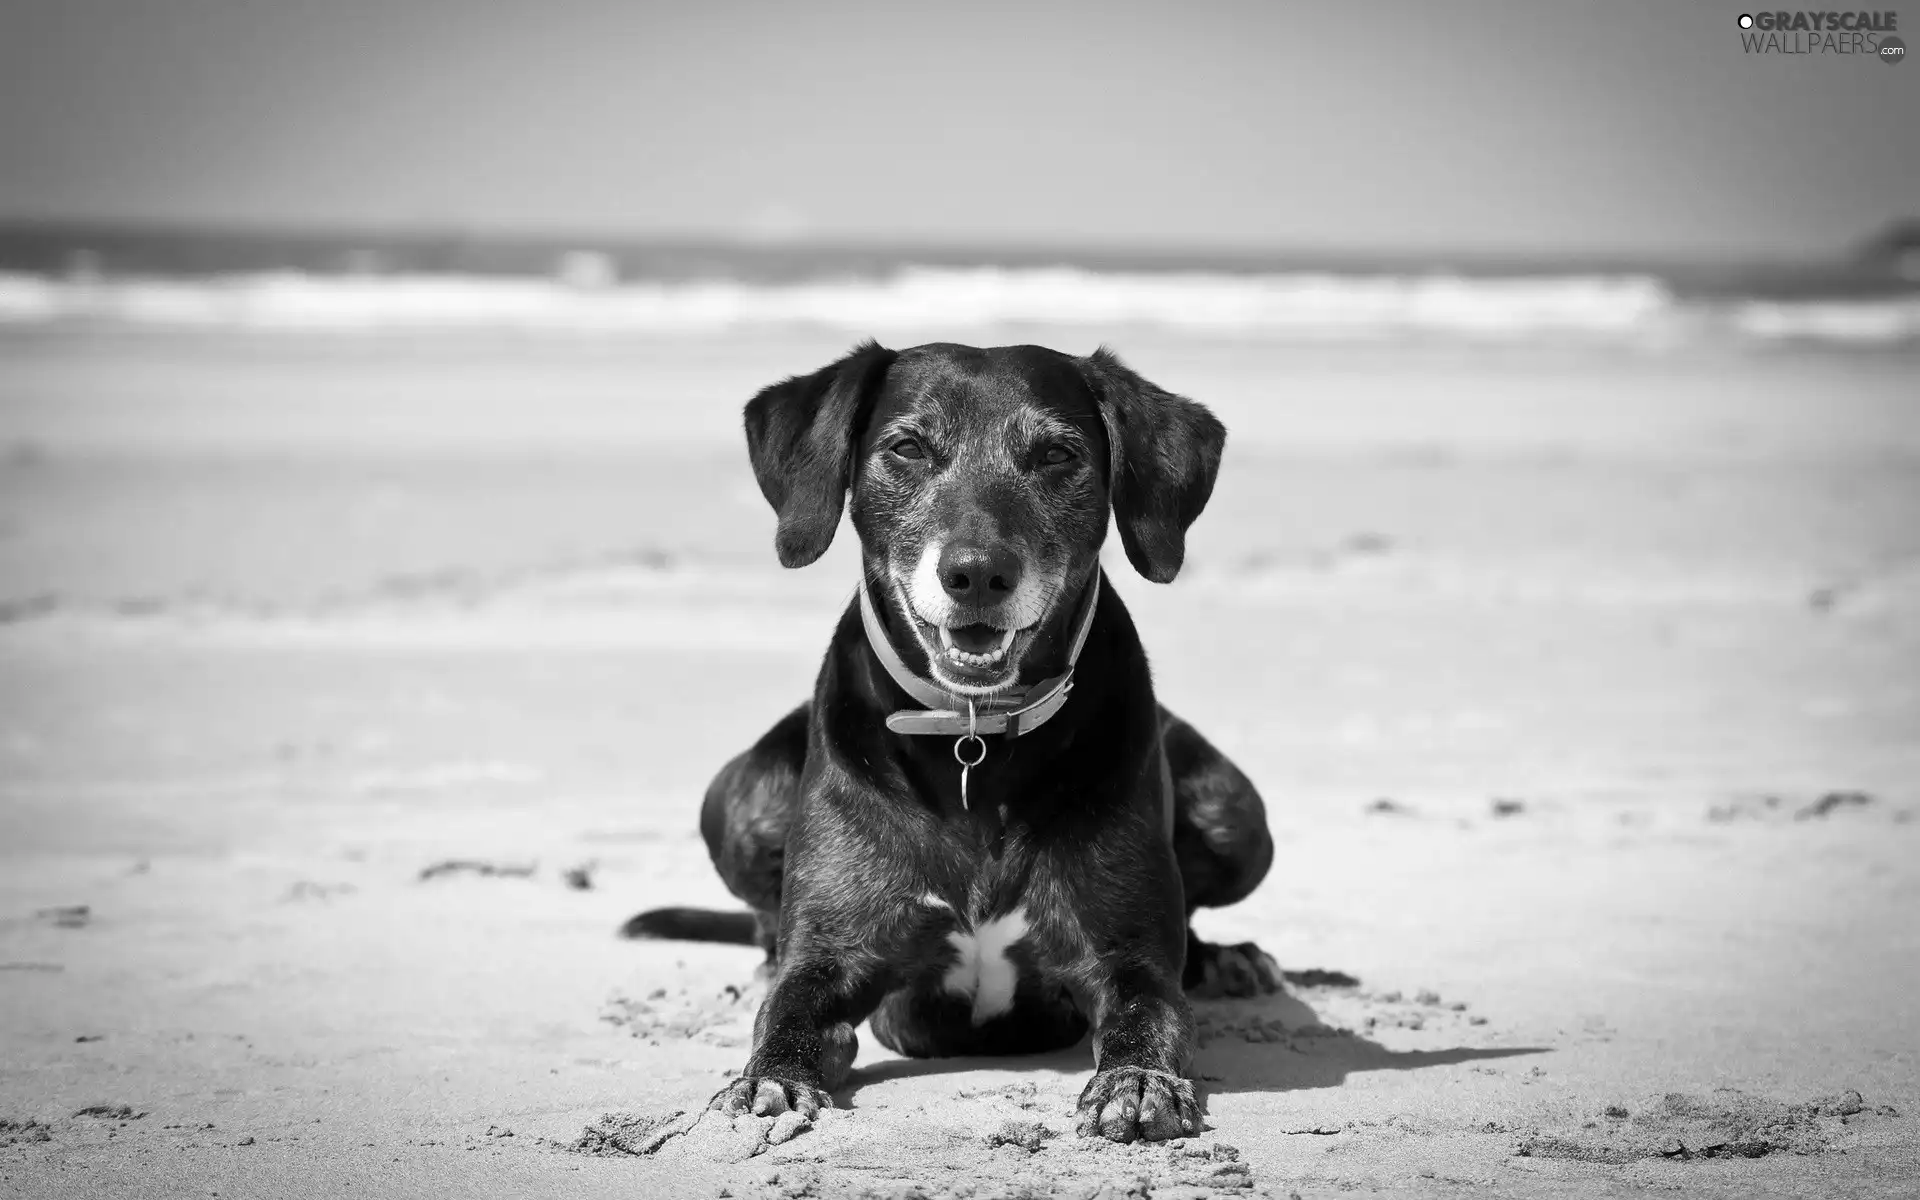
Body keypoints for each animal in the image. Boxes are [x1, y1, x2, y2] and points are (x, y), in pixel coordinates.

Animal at [629, 339, 1282, 1144]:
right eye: (907, 448)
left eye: (1058, 454)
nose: (976, 573)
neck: (975, 737)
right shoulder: (830, 957)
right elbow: (789, 1014)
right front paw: (767, 1082)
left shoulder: (1128, 958)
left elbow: (1148, 1014)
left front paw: (1136, 1083)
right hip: (744, 798)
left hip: (1236, 815)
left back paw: (1228, 961)